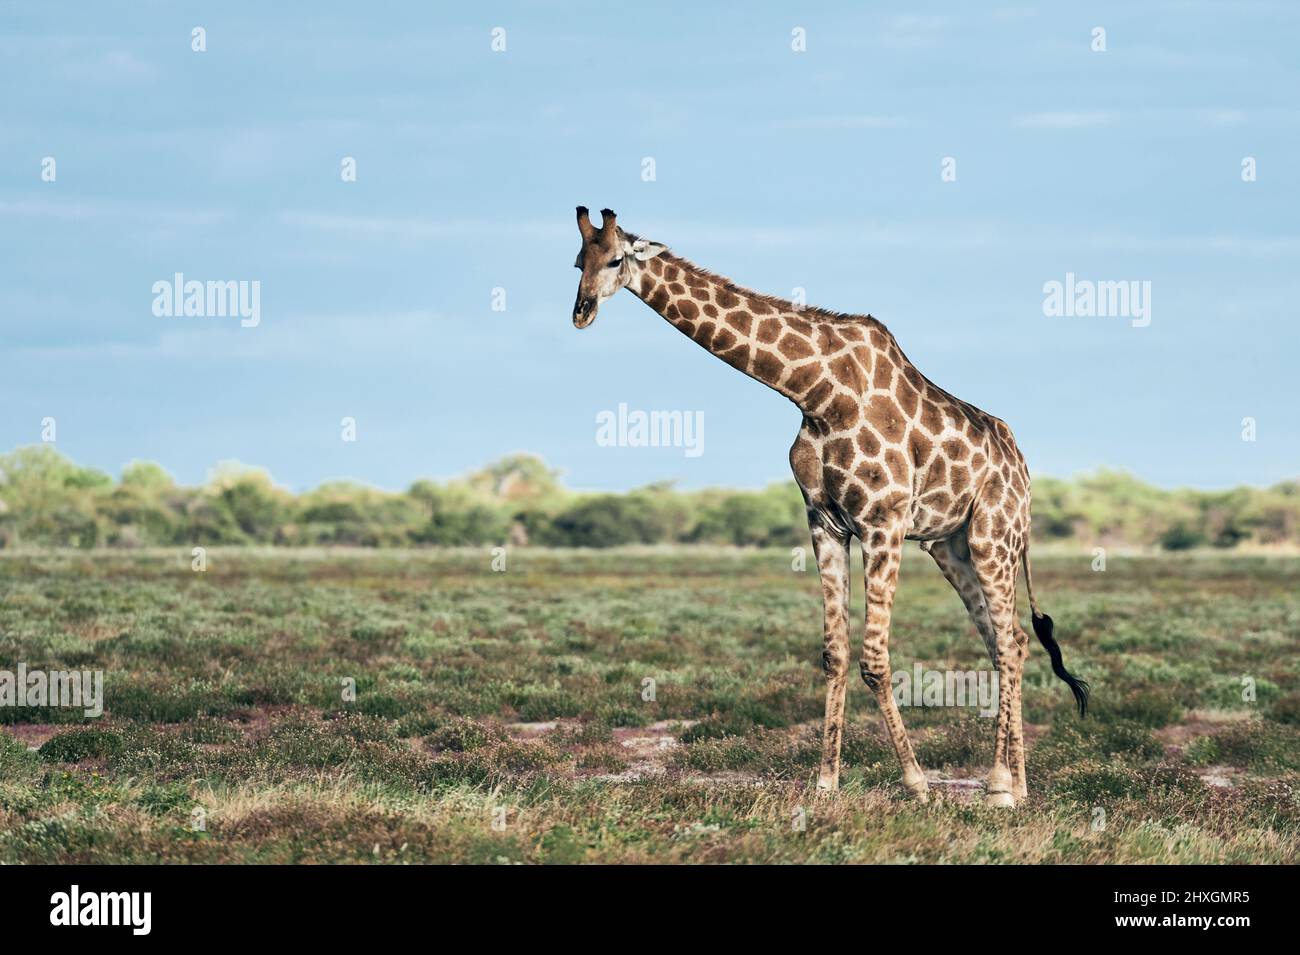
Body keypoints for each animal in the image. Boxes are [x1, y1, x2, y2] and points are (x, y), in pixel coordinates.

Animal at [569, 209, 1086, 805]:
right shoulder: (825, 522)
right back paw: (1016, 785)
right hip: (949, 545)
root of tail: (1023, 471)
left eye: (615, 259)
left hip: (993, 535)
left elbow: (874, 659)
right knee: (1010, 640)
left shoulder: (883, 522)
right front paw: (825, 784)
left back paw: (1001, 785)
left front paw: (916, 784)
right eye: (577, 261)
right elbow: (835, 653)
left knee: (1008, 641)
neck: (815, 392)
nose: (581, 312)